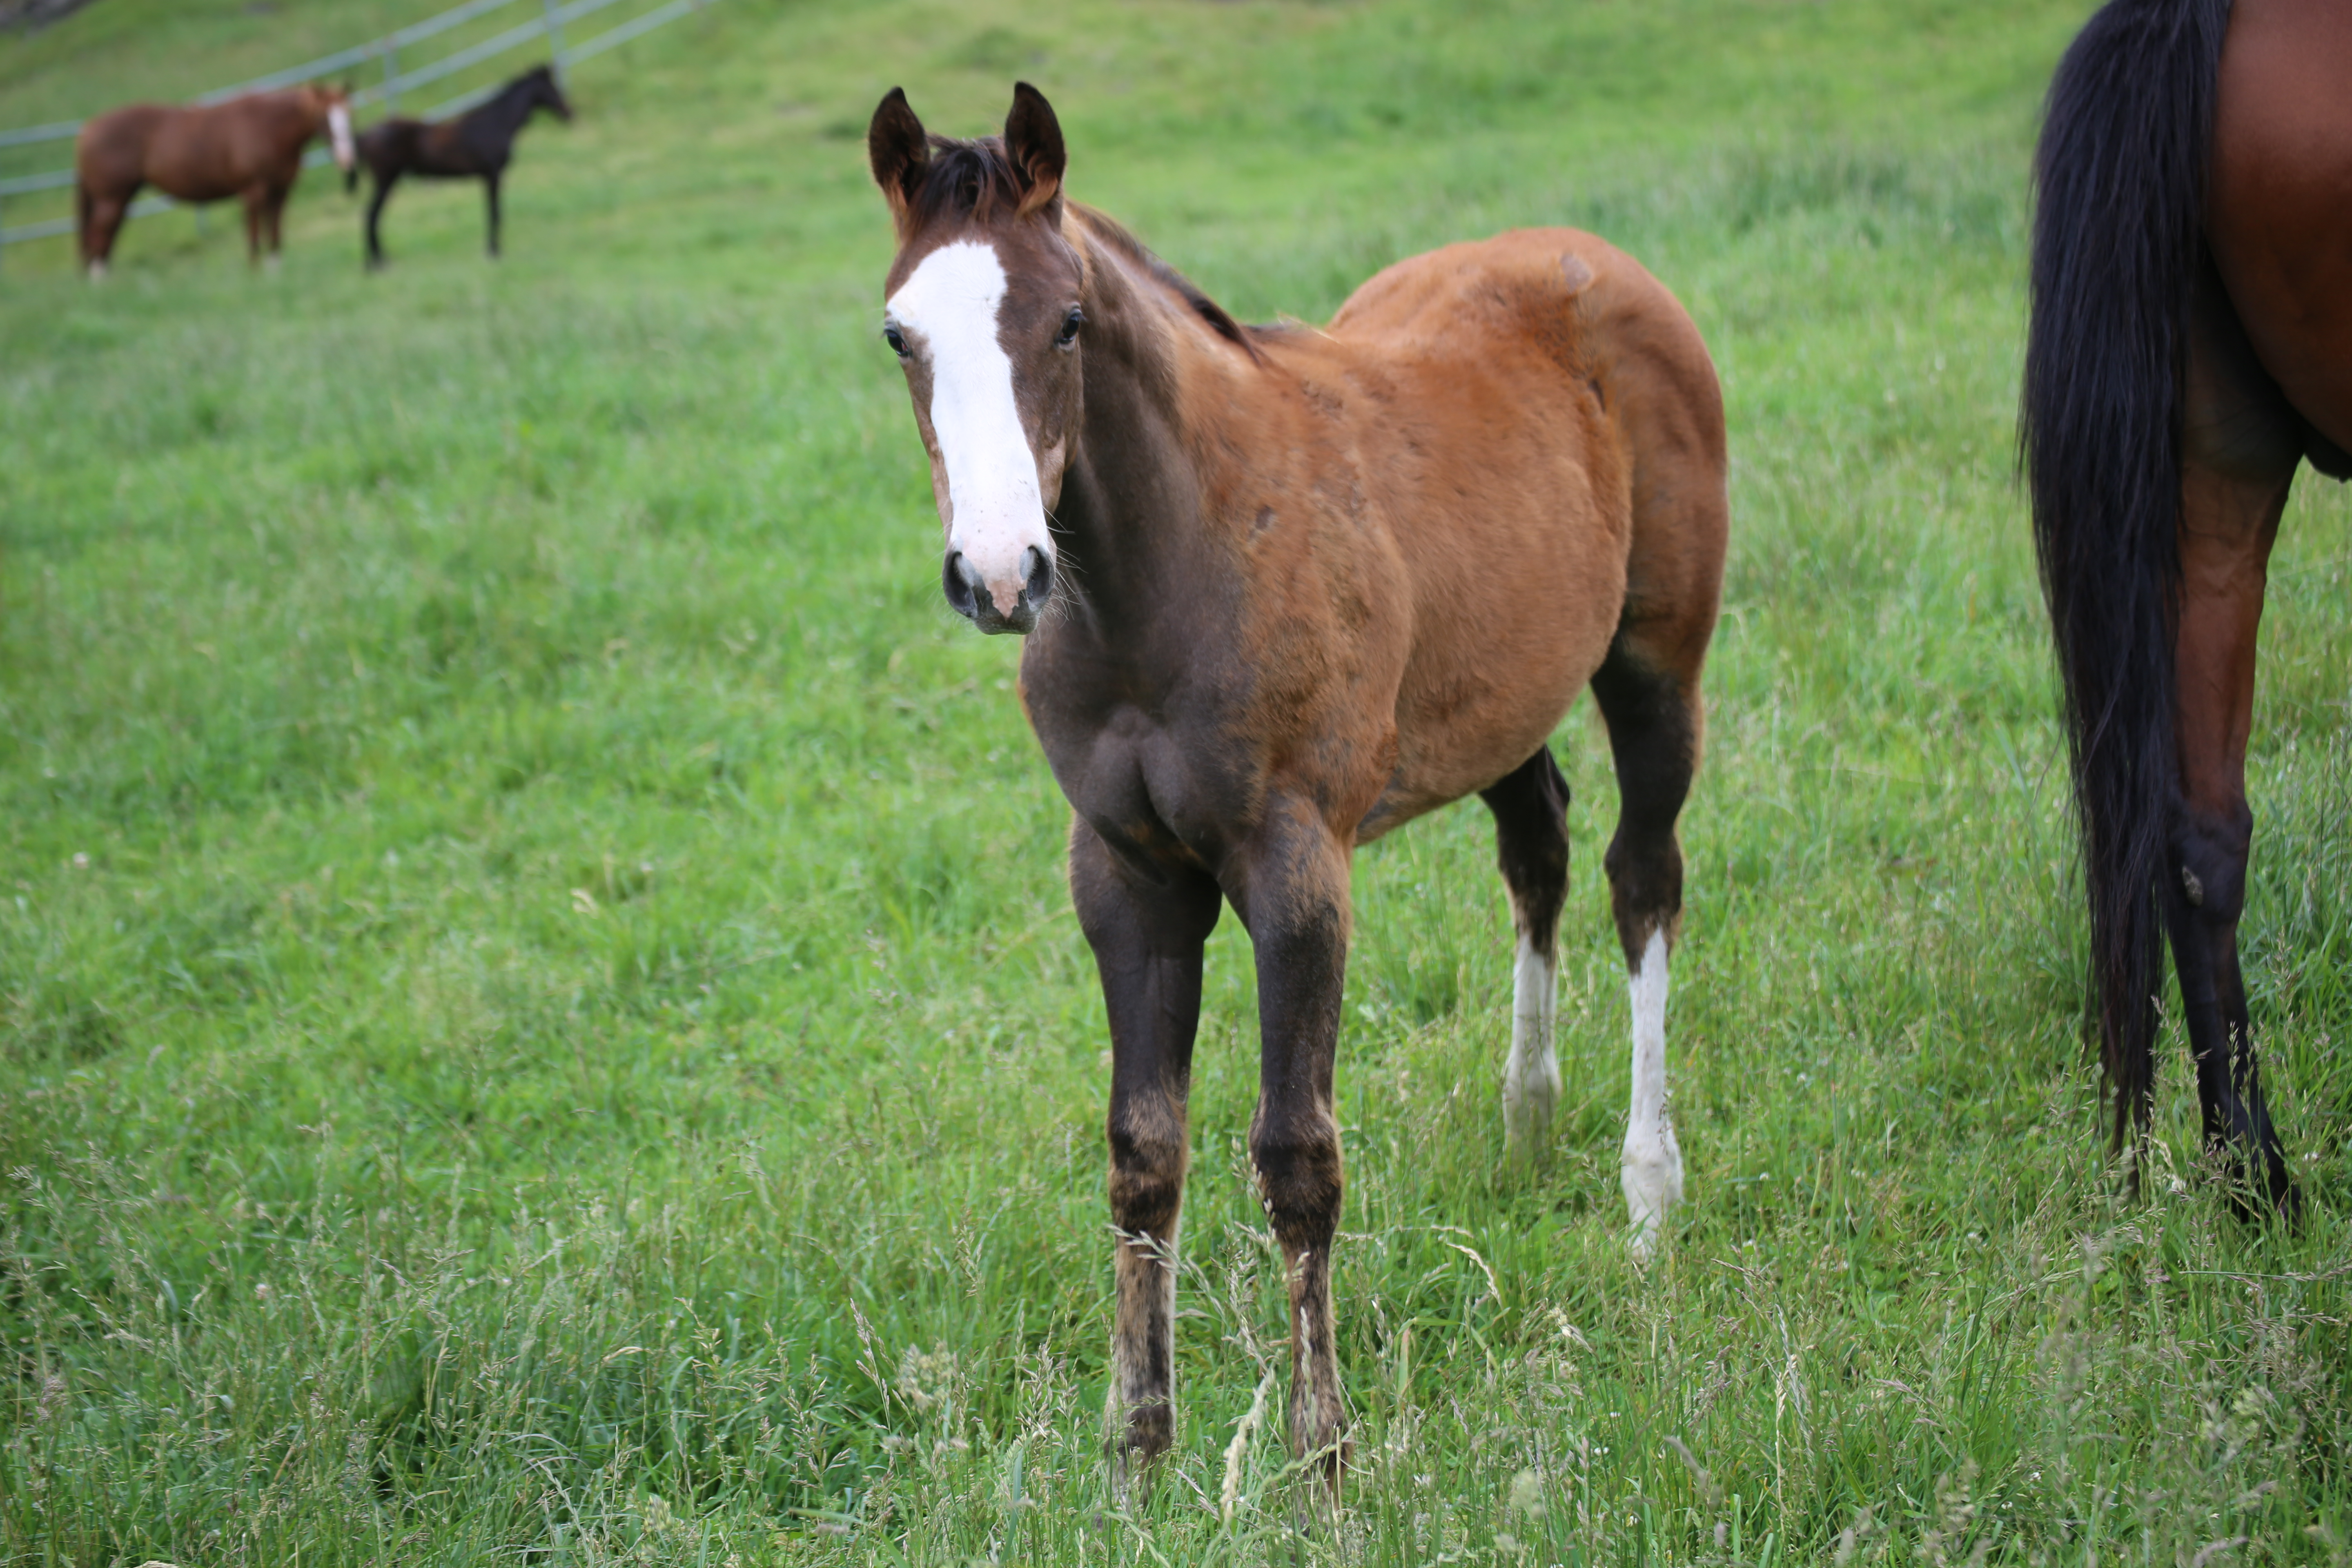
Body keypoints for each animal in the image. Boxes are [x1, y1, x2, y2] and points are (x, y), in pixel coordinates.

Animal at [74, 82, 350, 276]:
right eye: (322, 117)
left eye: (348, 115)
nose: (347, 157)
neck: (267, 127)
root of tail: (88, 129)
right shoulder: (253, 192)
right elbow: (254, 234)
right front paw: (256, 274)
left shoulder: (281, 192)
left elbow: (274, 233)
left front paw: (275, 273)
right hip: (111, 199)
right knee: (99, 237)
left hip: (122, 198)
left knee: (106, 239)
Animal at [345, 62, 571, 267]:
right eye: (551, 88)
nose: (570, 113)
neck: (497, 123)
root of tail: (363, 136)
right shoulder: (493, 175)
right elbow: (495, 213)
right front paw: (494, 253)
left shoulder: (488, 176)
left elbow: (492, 213)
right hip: (386, 181)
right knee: (371, 216)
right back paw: (378, 263)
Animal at [865, 82, 1731, 1486]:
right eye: (901, 334)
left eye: (1065, 321)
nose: (999, 575)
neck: (1168, 573)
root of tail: (1592, 259)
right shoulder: (1125, 875)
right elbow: (1142, 1152)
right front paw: (1138, 1457)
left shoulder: (1294, 867)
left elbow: (1296, 1152)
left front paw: (1324, 1460)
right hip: (1497, 691)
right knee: (1537, 848)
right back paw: (1528, 1119)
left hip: (1657, 661)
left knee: (1640, 879)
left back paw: (1648, 1193)